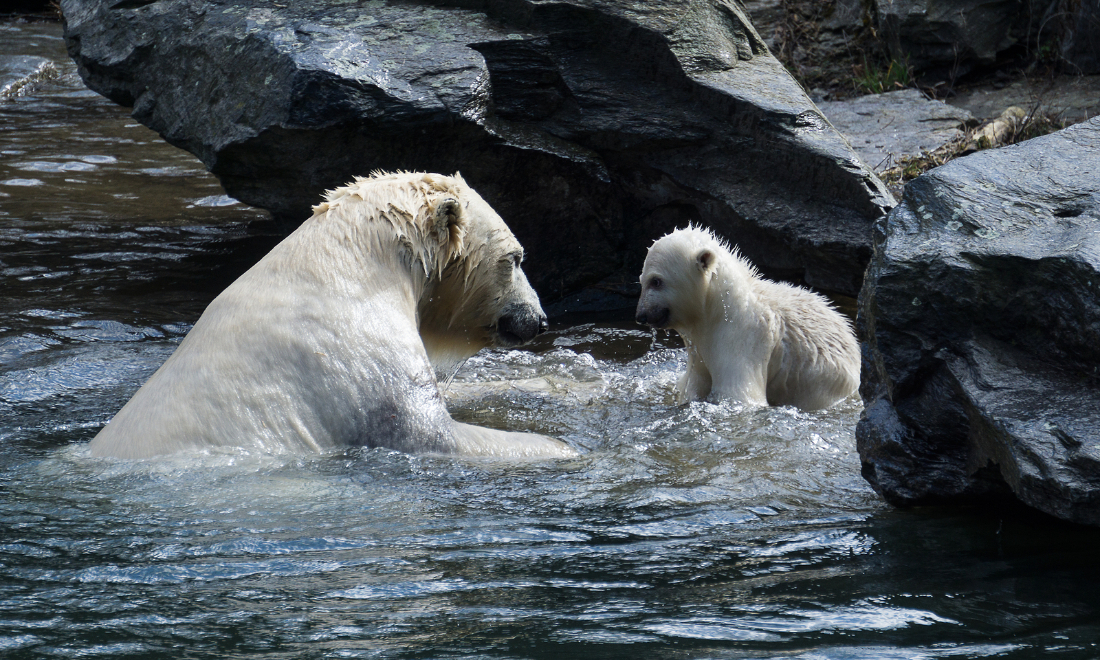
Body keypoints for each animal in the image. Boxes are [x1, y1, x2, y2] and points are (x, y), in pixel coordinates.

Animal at [89, 171, 577, 460]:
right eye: (515, 258)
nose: (539, 320)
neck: (352, 264)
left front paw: (564, 384)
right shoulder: (359, 356)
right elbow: (429, 432)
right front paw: (561, 446)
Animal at [635, 226, 859, 410]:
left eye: (656, 281)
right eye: (642, 280)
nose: (641, 315)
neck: (716, 310)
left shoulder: (740, 339)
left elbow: (739, 394)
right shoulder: (698, 351)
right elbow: (692, 384)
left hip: (823, 383)